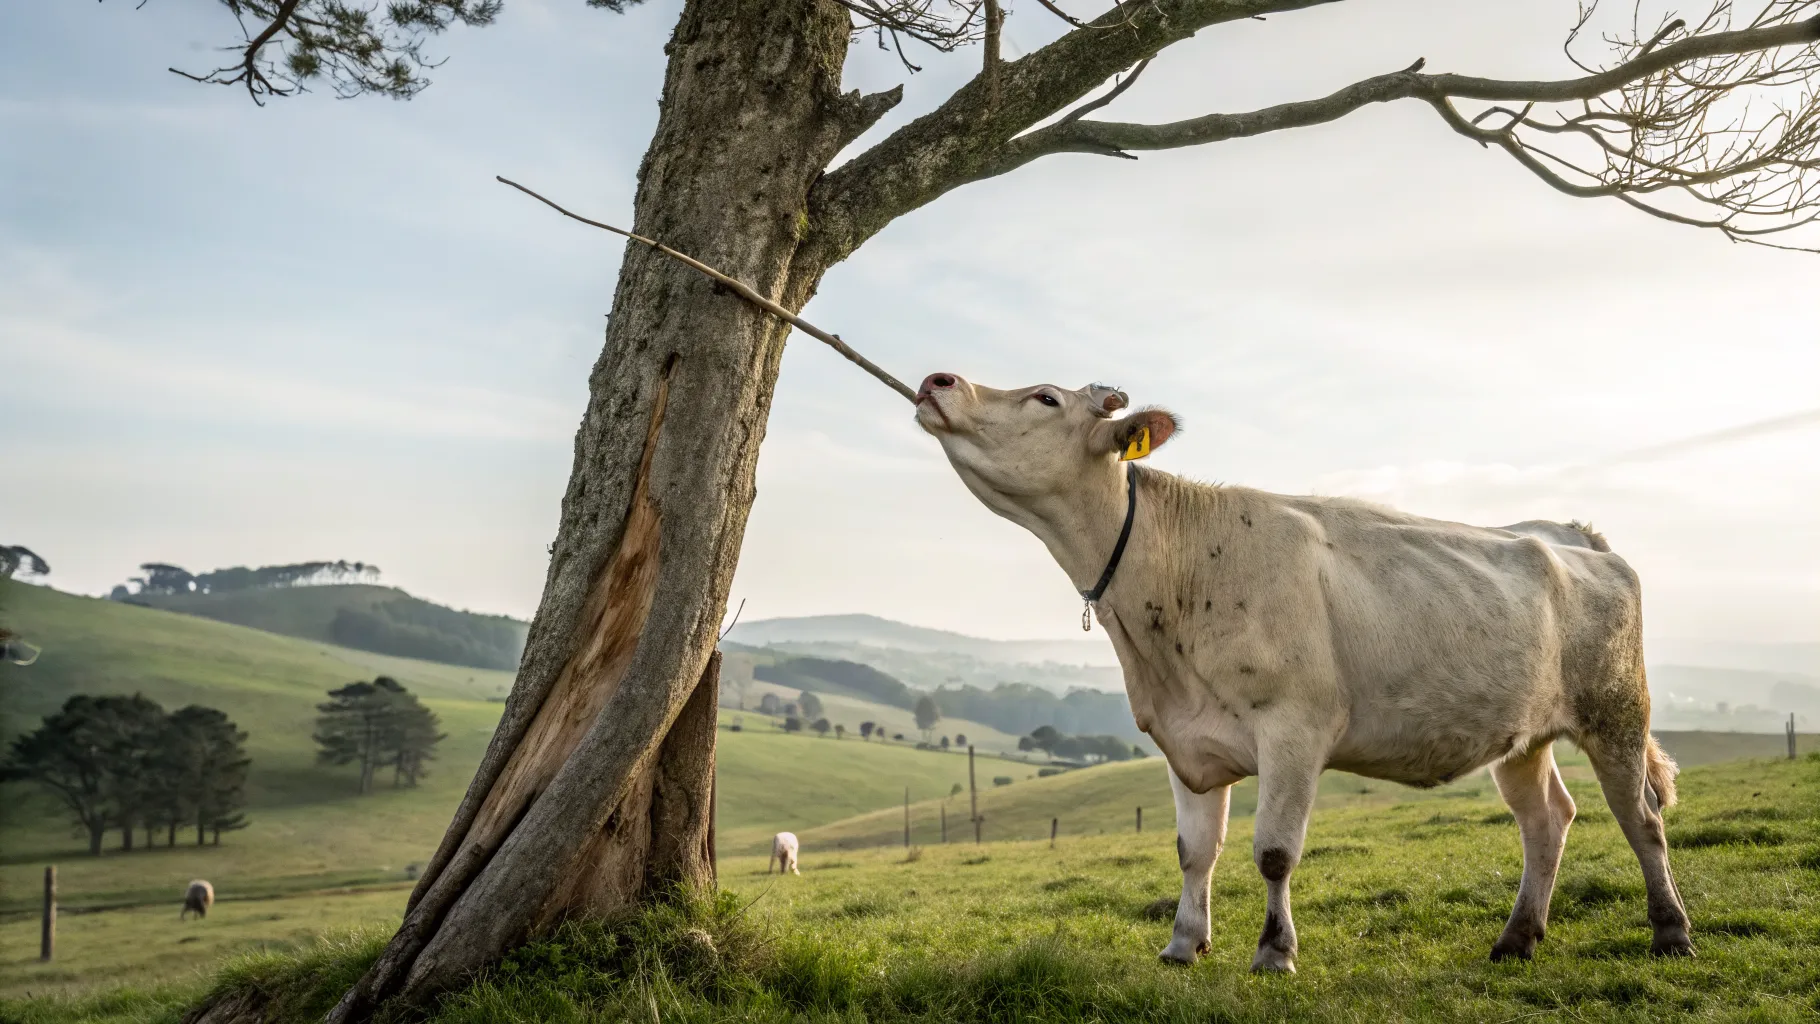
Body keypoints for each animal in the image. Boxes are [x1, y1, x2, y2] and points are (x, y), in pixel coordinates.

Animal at [913, 373, 1692, 973]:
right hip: (1522, 734)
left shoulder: (1294, 728)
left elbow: (1273, 853)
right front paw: (1182, 945)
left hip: (1618, 712)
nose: (937, 379)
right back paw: (1517, 939)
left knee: (1642, 818)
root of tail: (1571, 532)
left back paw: (1670, 931)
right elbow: (1195, 851)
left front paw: (1273, 951)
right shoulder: (1183, 737)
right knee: (1547, 819)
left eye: (1045, 397)